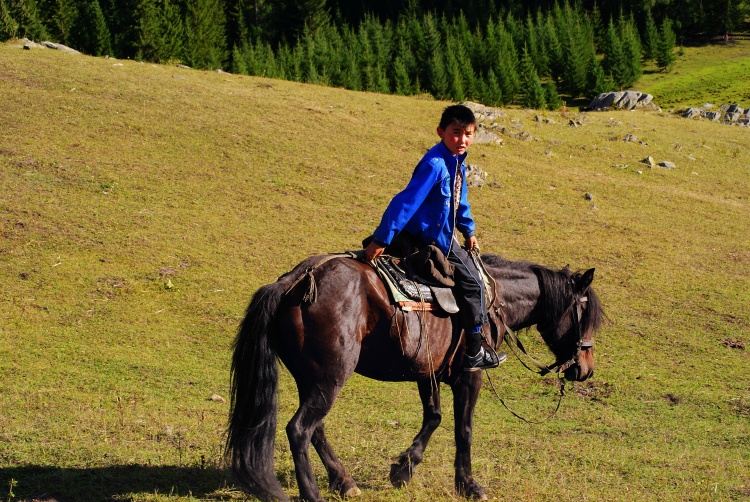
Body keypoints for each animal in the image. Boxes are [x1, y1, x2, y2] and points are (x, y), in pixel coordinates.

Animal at [228, 253, 604, 500]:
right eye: (584, 312)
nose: (585, 369)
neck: (491, 299)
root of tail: (293, 281)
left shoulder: (429, 372)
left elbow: (433, 417)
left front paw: (403, 469)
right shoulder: (471, 374)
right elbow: (464, 429)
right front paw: (469, 485)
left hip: (313, 379)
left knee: (314, 429)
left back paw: (344, 481)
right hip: (329, 378)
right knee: (299, 429)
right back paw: (316, 494)